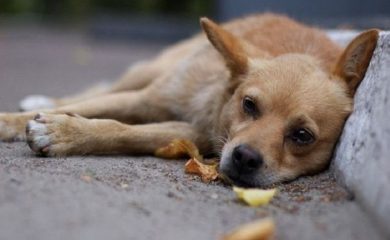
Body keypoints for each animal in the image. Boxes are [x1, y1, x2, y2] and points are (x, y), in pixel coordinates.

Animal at [0, 13, 378, 188]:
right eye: (249, 105)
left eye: (302, 136)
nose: (244, 157)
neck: (213, 101)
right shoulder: (144, 99)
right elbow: (91, 107)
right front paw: (10, 122)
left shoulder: (189, 133)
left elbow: (119, 130)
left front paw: (63, 132)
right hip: (150, 73)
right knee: (94, 92)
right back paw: (40, 99)